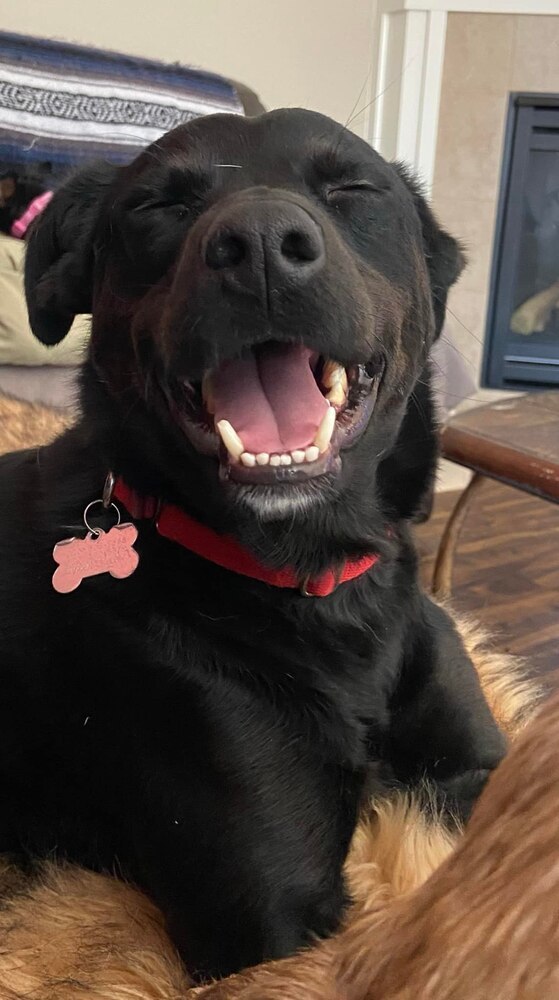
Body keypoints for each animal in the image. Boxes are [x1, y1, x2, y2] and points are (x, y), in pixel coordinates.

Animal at [0, 109, 506, 976]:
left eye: (350, 190)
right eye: (159, 207)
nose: (262, 242)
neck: (322, 586)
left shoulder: (478, 768)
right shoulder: (272, 918)